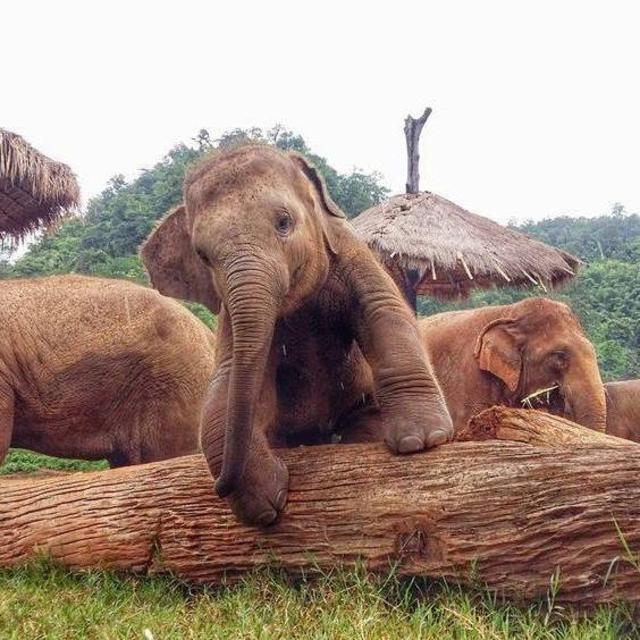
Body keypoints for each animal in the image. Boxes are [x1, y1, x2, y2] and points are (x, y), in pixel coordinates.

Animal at [141, 144, 453, 526]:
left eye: (284, 223)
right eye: (203, 255)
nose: (220, 487)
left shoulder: (348, 249)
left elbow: (383, 311)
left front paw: (421, 441)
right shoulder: (228, 309)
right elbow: (228, 372)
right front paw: (263, 506)